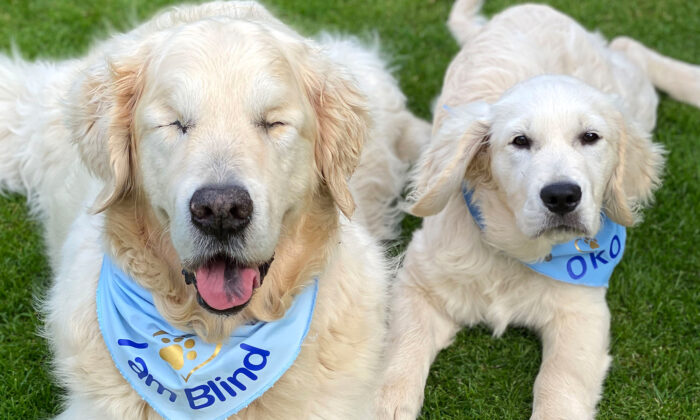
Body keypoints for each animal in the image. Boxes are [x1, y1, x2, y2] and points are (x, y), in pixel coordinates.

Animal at [378, 0, 700, 420]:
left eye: (590, 137)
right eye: (520, 141)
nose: (562, 196)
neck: (515, 252)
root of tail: (525, 8)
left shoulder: (581, 312)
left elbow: (558, 386)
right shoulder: (419, 282)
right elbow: (402, 350)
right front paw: (385, 401)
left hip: (635, 99)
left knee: (627, 47)